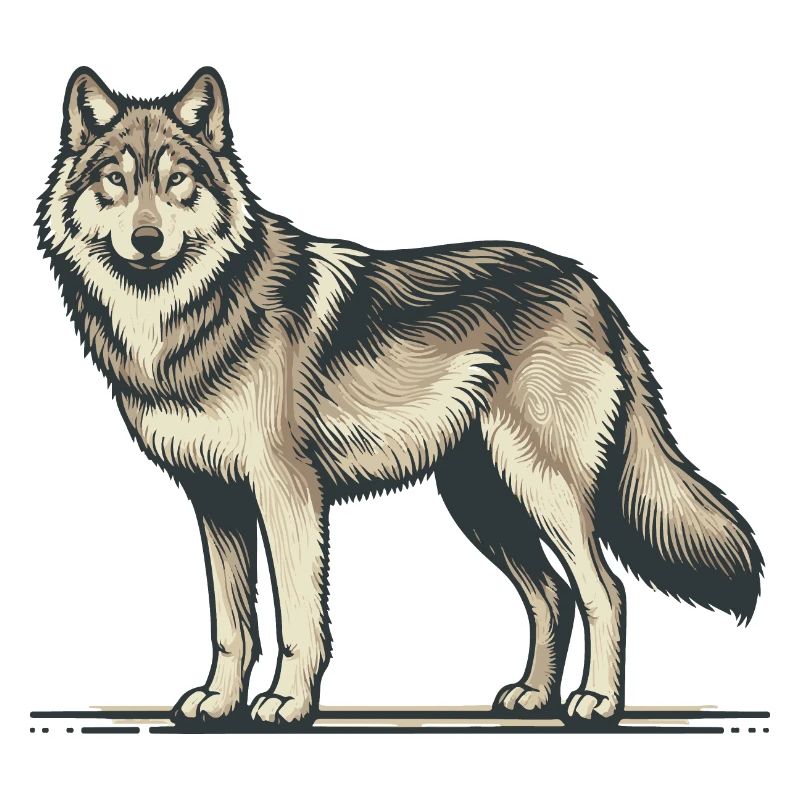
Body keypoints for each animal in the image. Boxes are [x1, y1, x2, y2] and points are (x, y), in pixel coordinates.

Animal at [37, 67, 762, 727]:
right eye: (116, 180)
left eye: (177, 179)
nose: (147, 239)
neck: (185, 314)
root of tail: (589, 286)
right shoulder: (215, 500)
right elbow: (232, 625)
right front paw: (218, 702)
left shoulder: (287, 493)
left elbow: (298, 619)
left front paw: (288, 704)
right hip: (482, 503)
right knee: (552, 595)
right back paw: (532, 697)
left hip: (541, 488)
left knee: (605, 591)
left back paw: (598, 703)